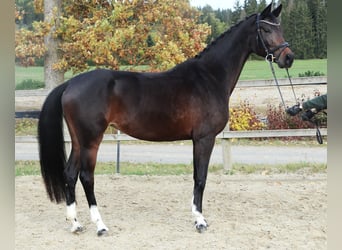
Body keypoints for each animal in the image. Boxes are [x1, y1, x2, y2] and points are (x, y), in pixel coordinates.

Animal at [37, 2, 294, 235]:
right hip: (91, 140)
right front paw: (200, 221)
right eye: (266, 29)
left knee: (70, 174)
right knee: (86, 177)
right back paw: (100, 225)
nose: (288, 57)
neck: (209, 77)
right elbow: (200, 177)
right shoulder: (204, 138)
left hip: (78, 141)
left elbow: (197, 177)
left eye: (280, 27)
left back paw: (76, 224)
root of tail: (71, 83)